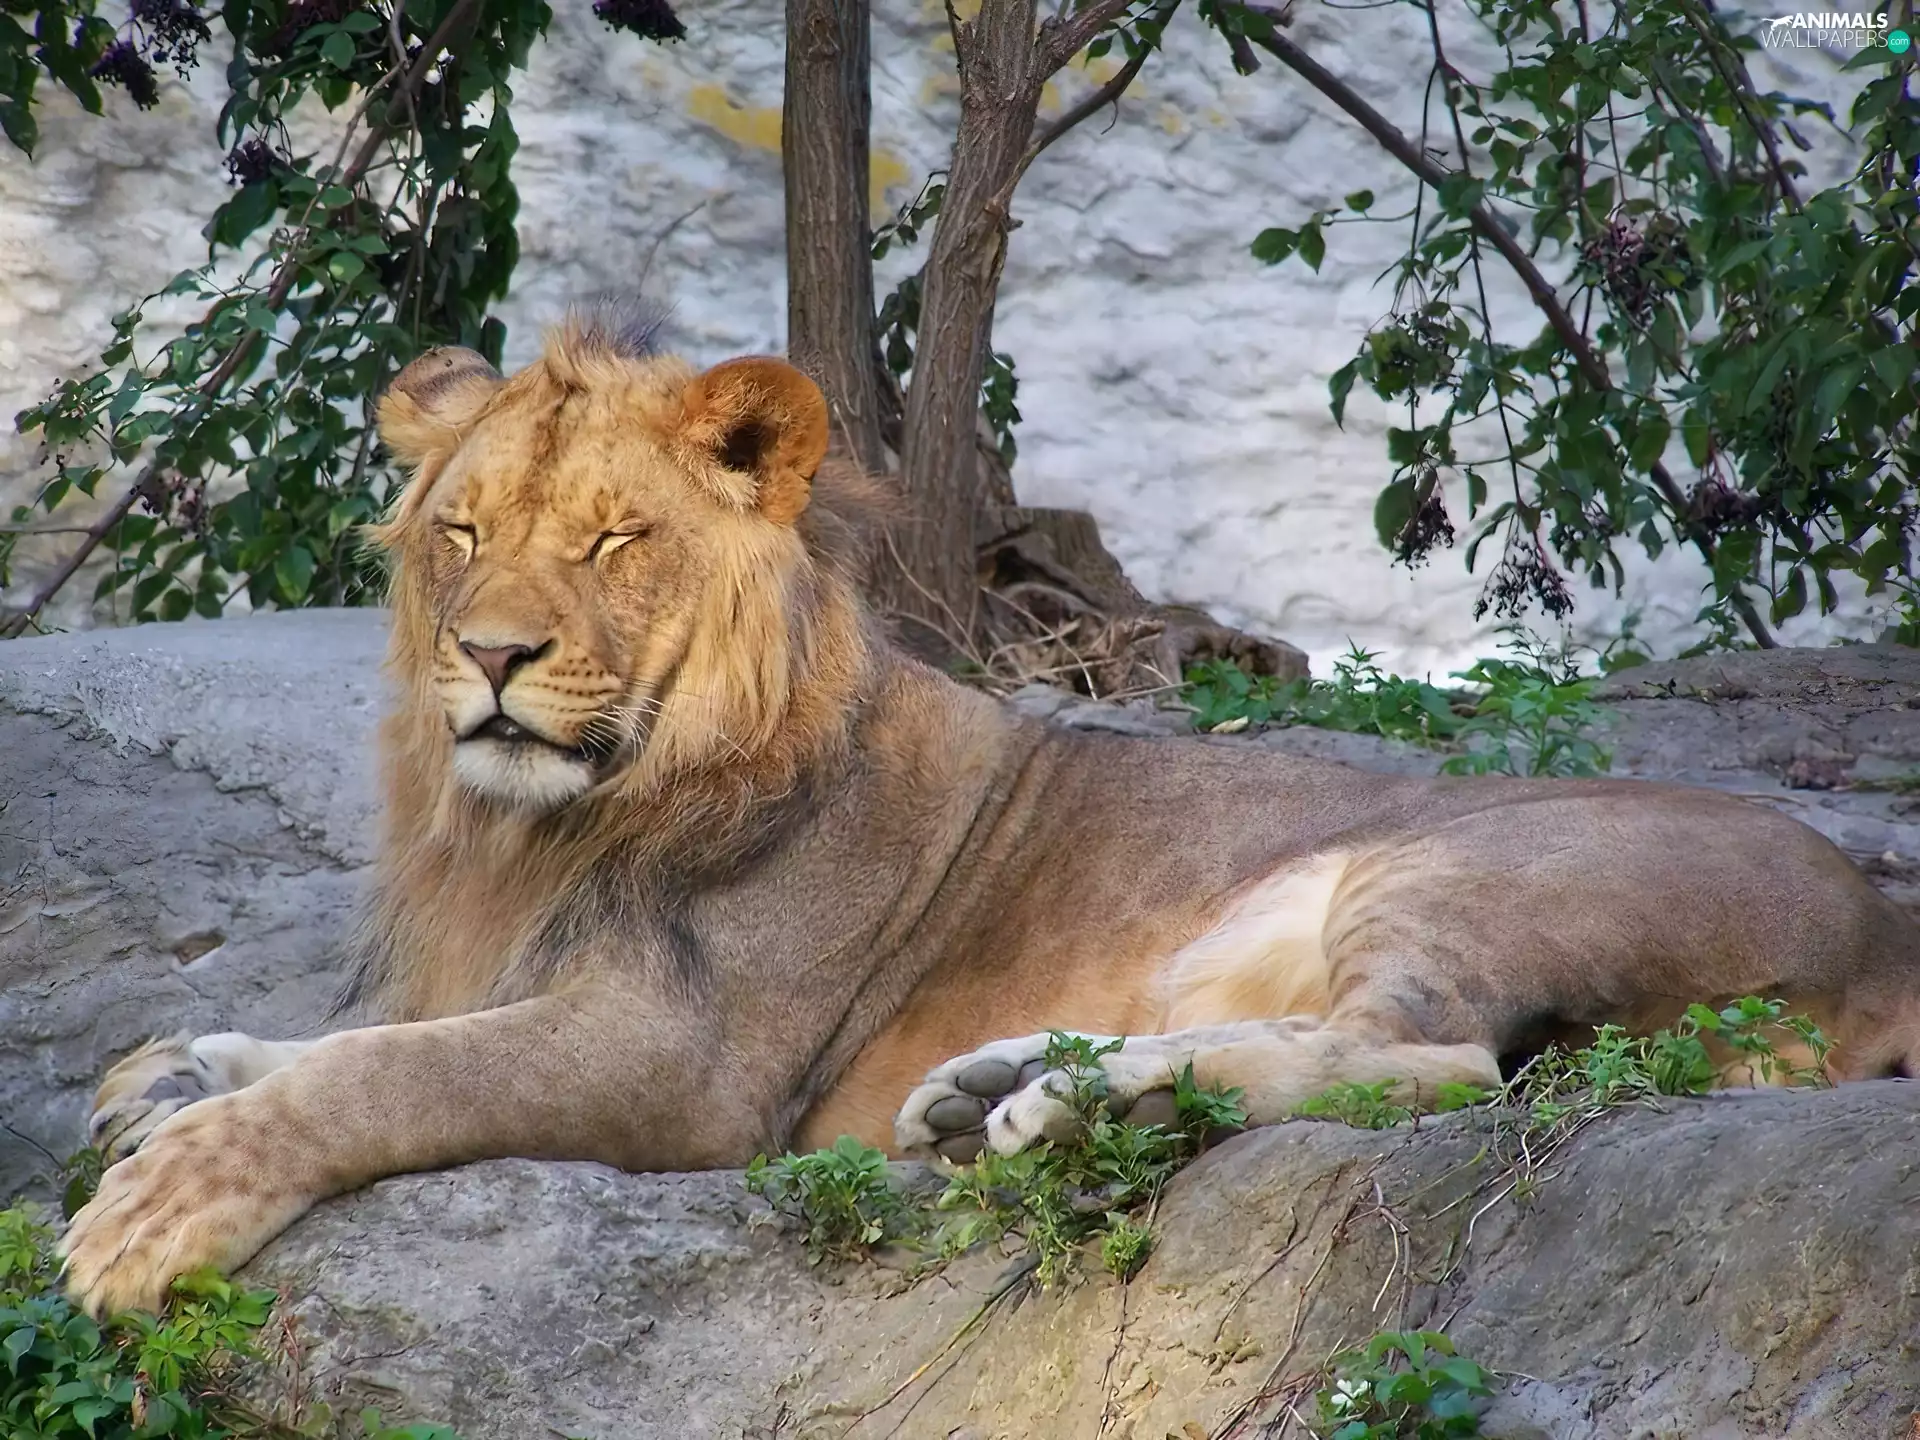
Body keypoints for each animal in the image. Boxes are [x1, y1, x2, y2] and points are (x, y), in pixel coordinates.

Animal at [59, 300, 1920, 1319]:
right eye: (459, 534)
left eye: (612, 541)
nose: (491, 656)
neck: (569, 820)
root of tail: (1886, 923)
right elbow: (343, 1040)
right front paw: (175, 1074)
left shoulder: (689, 1062)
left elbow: (390, 1074)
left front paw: (159, 1205)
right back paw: (999, 1089)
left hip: (1461, 871)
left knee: (1436, 1064)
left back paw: (1077, 1111)